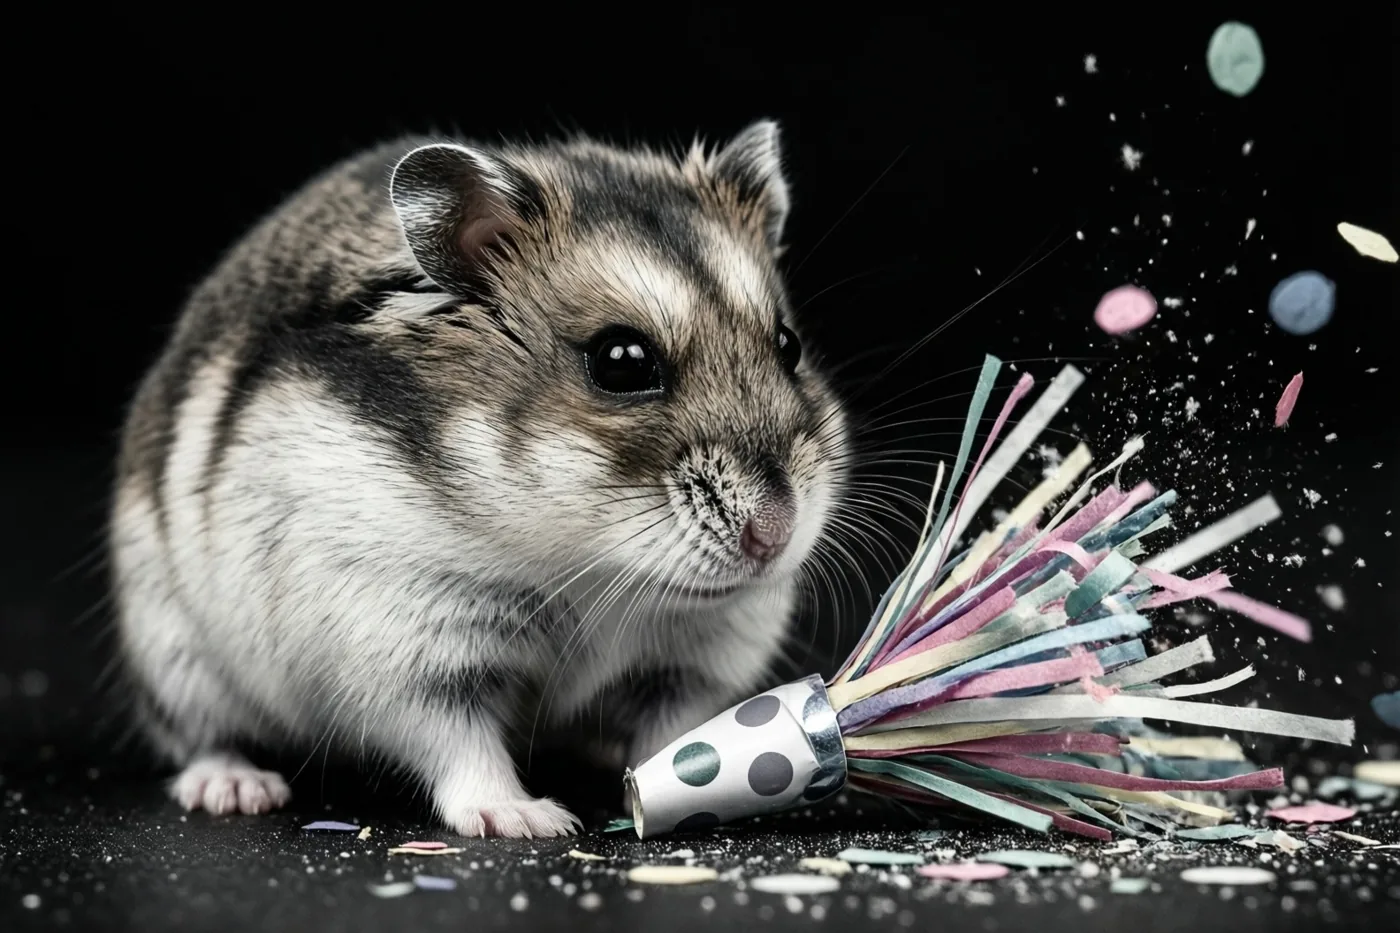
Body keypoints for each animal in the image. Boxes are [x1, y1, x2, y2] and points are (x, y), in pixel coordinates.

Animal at [108, 119, 852, 837]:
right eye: (621, 361)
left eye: (789, 345)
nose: (775, 535)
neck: (594, 571)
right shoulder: (406, 642)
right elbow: (458, 742)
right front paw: (530, 820)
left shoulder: (699, 657)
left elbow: (673, 730)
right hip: (173, 650)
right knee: (202, 737)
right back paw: (238, 790)